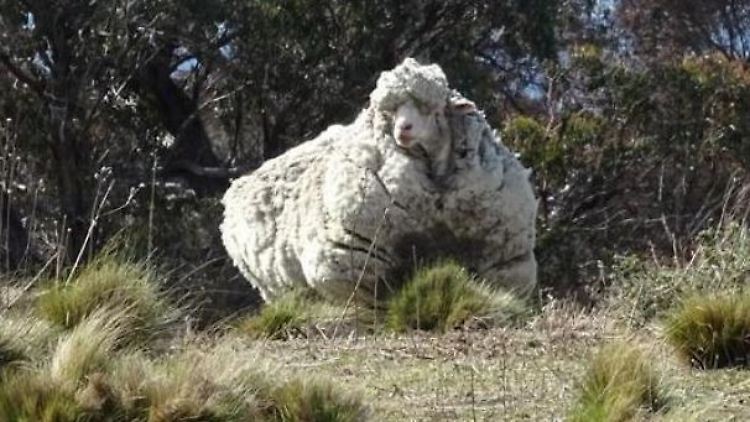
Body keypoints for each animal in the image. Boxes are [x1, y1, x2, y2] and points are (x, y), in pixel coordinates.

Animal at [221, 57, 538, 304]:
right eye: (390, 111)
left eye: (431, 109)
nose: (403, 129)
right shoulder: (355, 263)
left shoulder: (505, 262)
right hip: (277, 287)